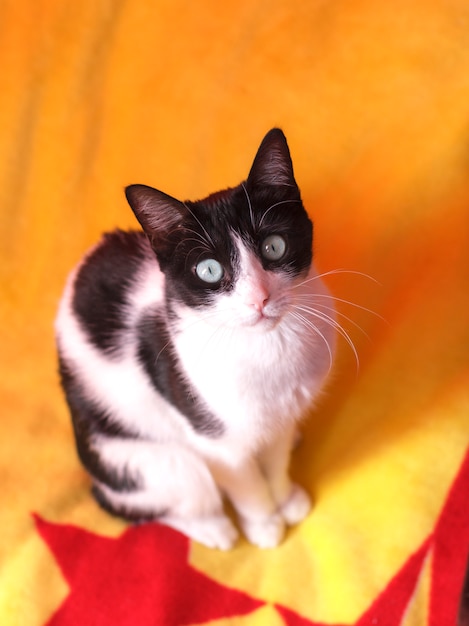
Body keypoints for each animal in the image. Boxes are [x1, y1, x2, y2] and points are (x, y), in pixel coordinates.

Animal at [54, 129, 334, 548]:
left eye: (274, 246)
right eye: (209, 270)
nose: (259, 298)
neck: (269, 347)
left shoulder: (283, 412)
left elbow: (275, 455)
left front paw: (285, 498)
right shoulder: (214, 437)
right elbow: (245, 480)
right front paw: (265, 523)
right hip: (148, 461)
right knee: (149, 501)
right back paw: (213, 528)